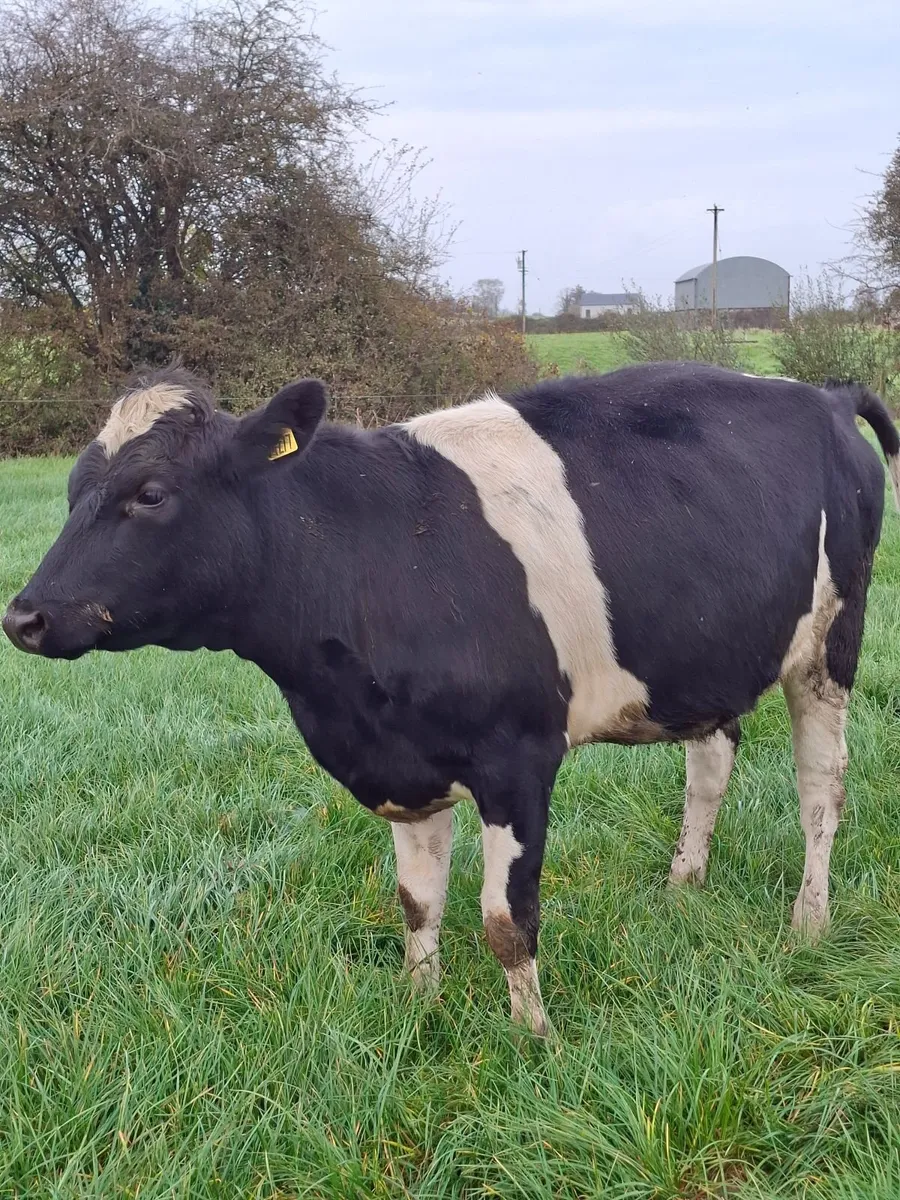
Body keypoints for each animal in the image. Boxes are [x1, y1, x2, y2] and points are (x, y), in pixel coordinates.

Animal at [4, 362, 899, 1035]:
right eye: (74, 489)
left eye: (151, 493)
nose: (25, 616)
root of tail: (823, 393)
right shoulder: (403, 762)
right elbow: (416, 900)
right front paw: (419, 1002)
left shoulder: (518, 760)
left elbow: (507, 920)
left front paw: (535, 1038)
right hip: (708, 660)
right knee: (710, 767)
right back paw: (684, 885)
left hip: (831, 645)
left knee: (821, 789)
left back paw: (808, 922)